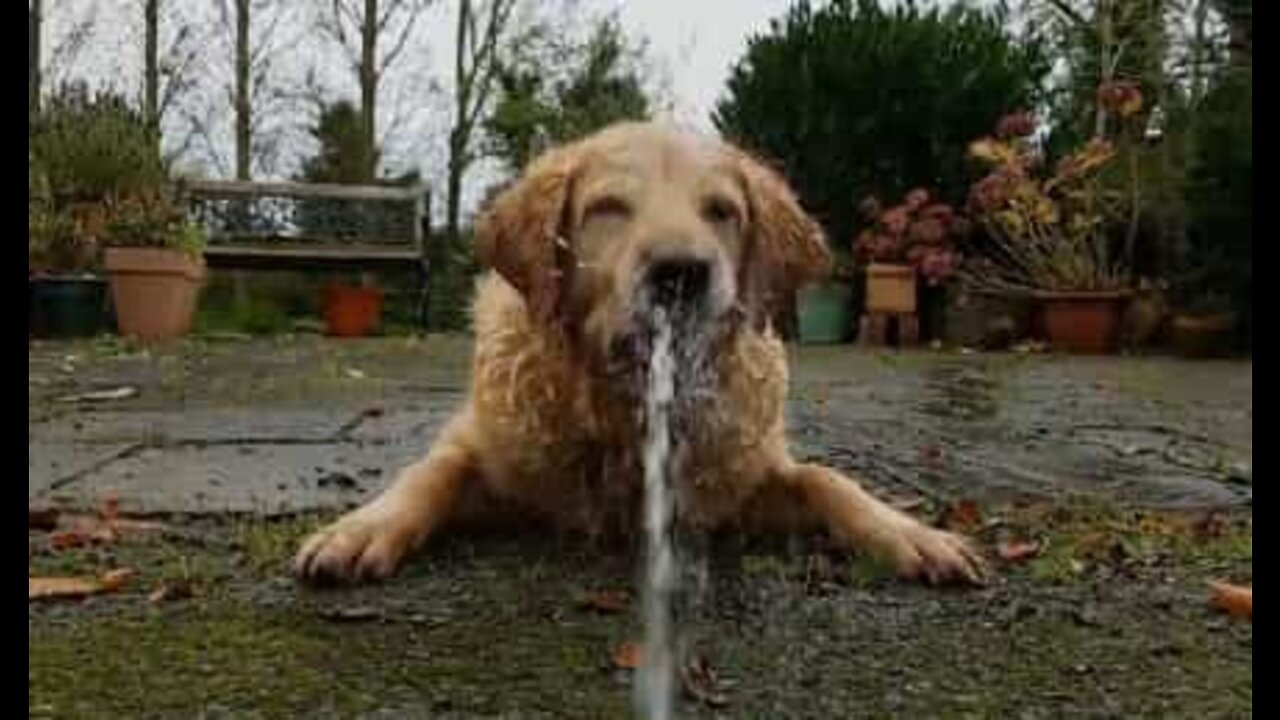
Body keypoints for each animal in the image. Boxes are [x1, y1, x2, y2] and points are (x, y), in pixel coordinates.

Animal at [294, 121, 983, 584]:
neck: (619, 413)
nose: (681, 273)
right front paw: (363, 527)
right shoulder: (486, 454)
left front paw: (911, 534)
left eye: (722, 211)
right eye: (607, 208)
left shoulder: (741, 481)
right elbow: (431, 471)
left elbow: (826, 478)